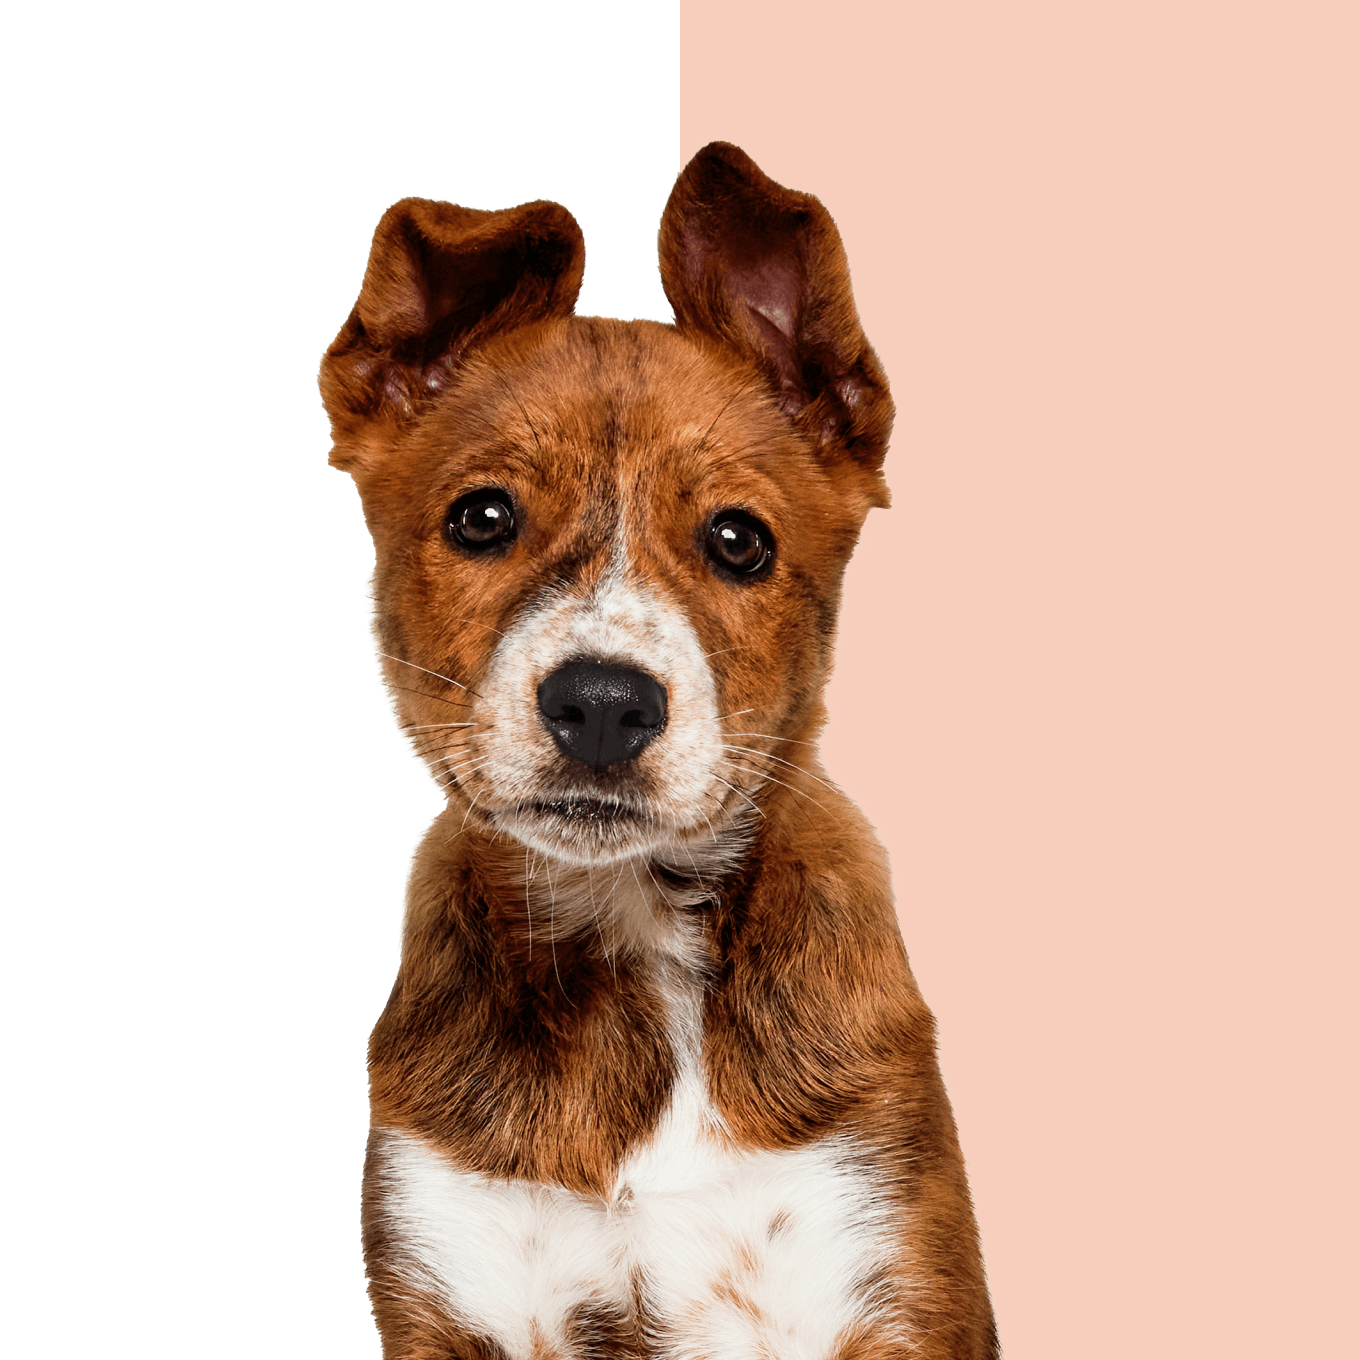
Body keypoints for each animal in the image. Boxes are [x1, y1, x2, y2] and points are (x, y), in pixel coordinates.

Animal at [318, 140, 1000, 1360]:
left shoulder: (883, 1258)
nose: (600, 704)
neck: (629, 930)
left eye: (739, 541)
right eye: (481, 518)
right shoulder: (450, 1275)